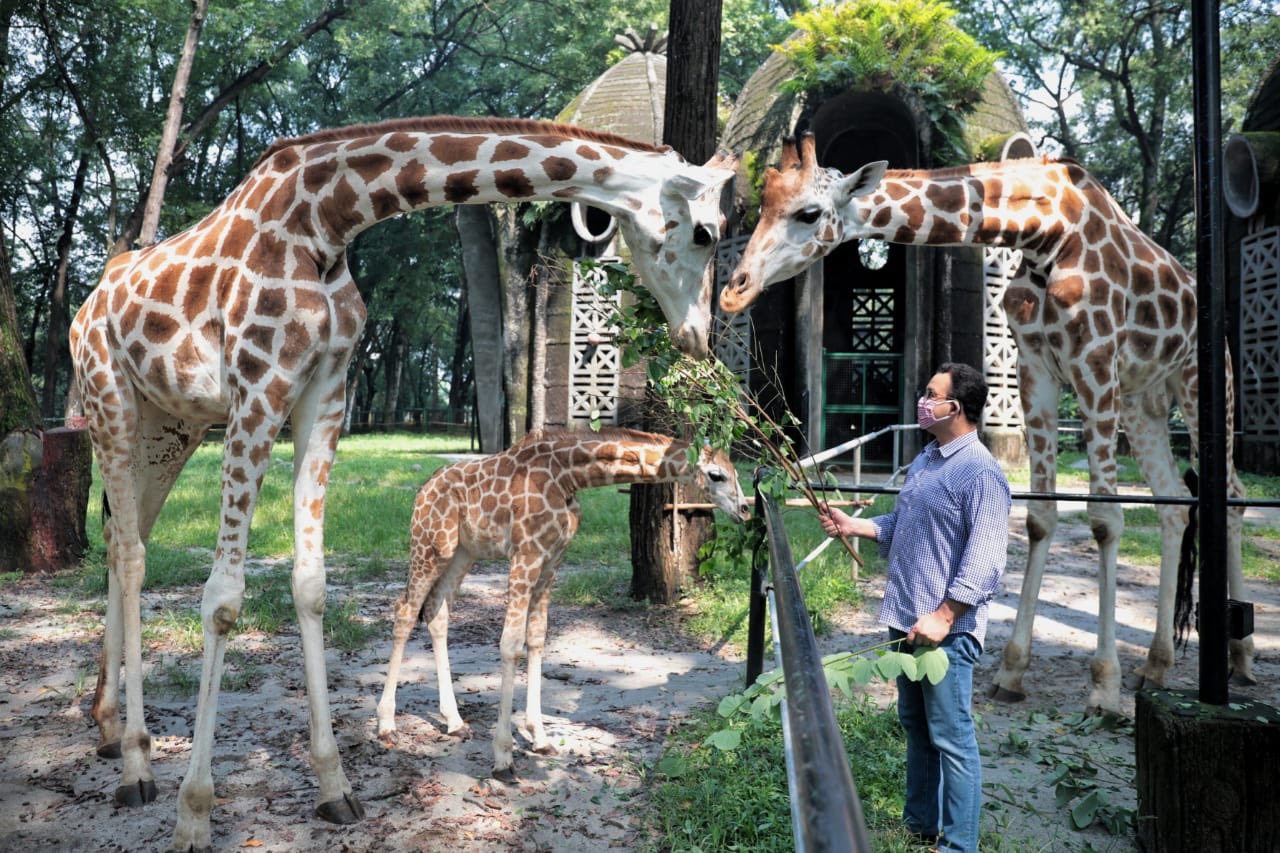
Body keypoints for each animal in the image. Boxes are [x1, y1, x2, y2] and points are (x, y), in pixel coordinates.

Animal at [371, 425, 747, 778]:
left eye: (736, 470)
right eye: (716, 474)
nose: (744, 509)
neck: (569, 476)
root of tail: (424, 489)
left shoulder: (552, 560)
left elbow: (536, 638)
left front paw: (539, 737)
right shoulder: (525, 554)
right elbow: (510, 644)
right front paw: (503, 755)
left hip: (463, 552)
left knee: (437, 611)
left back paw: (454, 721)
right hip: (431, 544)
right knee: (405, 611)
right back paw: (386, 724)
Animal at [727, 133, 1254, 712]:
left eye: (808, 212)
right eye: (760, 208)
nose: (733, 289)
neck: (1046, 232)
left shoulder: (1094, 360)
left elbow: (1104, 520)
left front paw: (1103, 686)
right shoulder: (1037, 367)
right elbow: (1041, 517)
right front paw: (1012, 670)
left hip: (1202, 381)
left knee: (1231, 494)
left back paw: (1239, 658)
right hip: (1144, 400)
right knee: (1173, 503)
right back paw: (1157, 666)